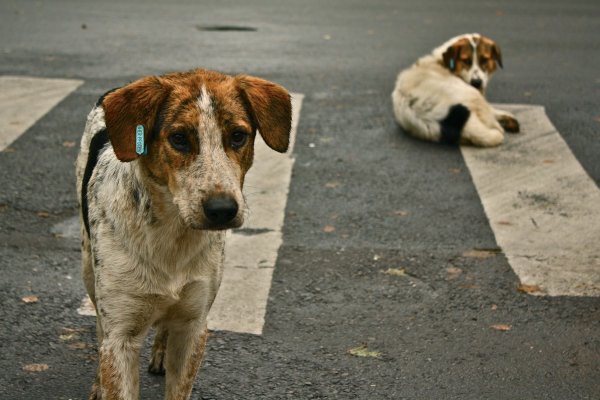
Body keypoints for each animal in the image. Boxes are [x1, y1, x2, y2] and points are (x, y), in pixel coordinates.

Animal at [76, 69, 292, 400]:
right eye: (178, 138)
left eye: (237, 136)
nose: (222, 209)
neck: (172, 234)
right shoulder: (121, 334)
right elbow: (112, 355)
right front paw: (102, 383)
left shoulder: (194, 326)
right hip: (89, 266)